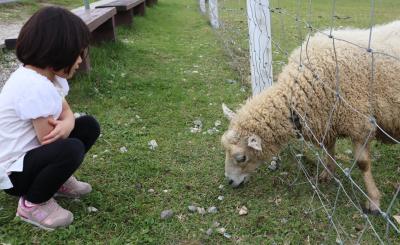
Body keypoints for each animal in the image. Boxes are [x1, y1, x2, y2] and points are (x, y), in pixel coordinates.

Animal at [222, 20, 400, 213]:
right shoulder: (328, 121)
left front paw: (374, 201)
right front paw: (327, 174)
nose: (230, 181)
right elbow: (328, 150)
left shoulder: (360, 123)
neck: (297, 96)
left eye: (241, 158)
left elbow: (363, 164)